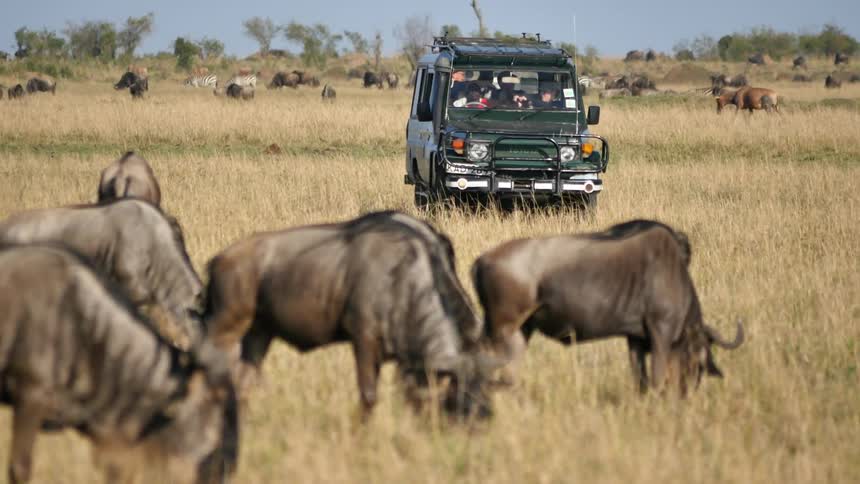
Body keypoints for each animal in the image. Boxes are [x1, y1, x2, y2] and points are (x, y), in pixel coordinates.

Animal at [201, 211, 495, 418]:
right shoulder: (364, 339)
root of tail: (218, 260)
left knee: (242, 383)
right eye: (458, 401)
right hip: (225, 329)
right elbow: (368, 396)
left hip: (259, 333)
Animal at [471, 220, 744, 395]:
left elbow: (640, 380)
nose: (687, 393)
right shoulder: (661, 335)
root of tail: (482, 259)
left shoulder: (635, 340)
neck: (673, 274)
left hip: (521, 331)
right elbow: (657, 378)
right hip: (503, 329)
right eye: (699, 361)